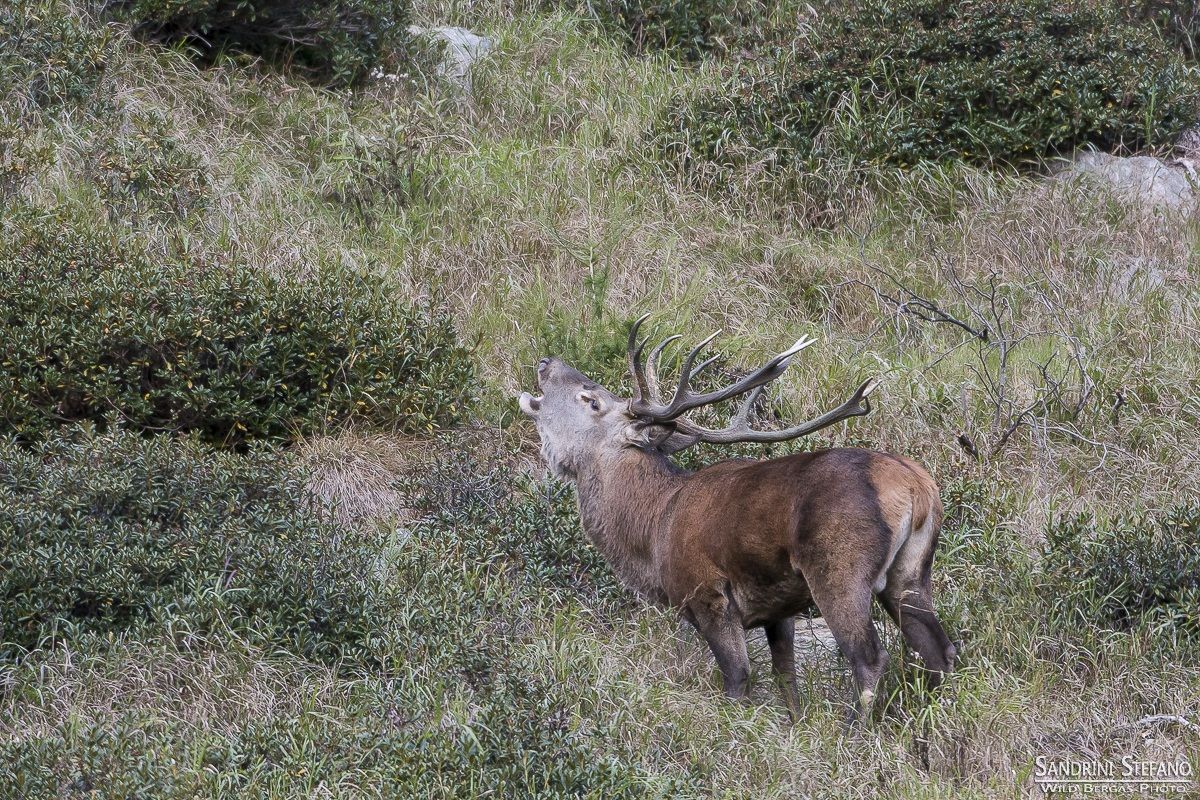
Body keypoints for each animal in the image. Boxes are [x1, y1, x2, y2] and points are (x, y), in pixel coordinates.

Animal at [517, 315, 956, 723]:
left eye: (591, 400)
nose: (546, 361)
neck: (653, 530)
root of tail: (917, 486)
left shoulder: (708, 594)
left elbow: (738, 678)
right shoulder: (779, 611)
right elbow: (786, 678)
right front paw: (795, 727)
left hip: (840, 569)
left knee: (869, 657)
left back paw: (853, 733)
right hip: (912, 570)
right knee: (940, 650)